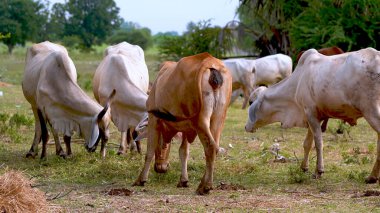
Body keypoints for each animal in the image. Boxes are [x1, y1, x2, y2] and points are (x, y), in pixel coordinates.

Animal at [132, 52, 232, 195]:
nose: (161, 168)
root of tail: (209, 62)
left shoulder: (153, 119)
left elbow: (149, 151)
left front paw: (141, 179)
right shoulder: (187, 129)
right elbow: (183, 152)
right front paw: (183, 180)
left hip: (201, 121)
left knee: (210, 147)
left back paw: (205, 186)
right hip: (218, 118)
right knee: (214, 148)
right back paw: (203, 183)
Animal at [245, 48, 380, 183]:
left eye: (251, 102)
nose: (246, 127)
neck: (297, 82)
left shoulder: (311, 114)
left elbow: (318, 143)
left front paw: (318, 171)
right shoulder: (312, 116)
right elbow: (307, 144)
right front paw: (304, 167)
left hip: (371, 111)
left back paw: (372, 176)